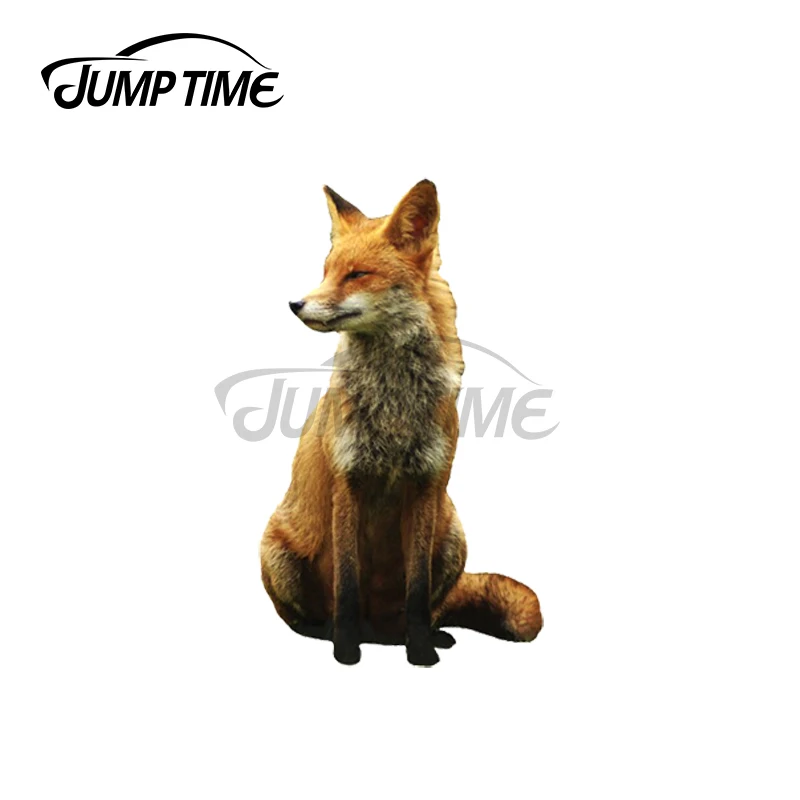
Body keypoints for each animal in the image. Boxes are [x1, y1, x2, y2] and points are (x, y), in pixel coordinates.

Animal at [260, 179, 542, 665]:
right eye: (326, 271)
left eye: (356, 275)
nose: (295, 303)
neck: (394, 408)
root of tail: (378, 628)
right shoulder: (347, 483)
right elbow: (347, 587)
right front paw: (345, 650)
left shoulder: (428, 484)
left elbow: (417, 592)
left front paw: (422, 652)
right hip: (276, 550)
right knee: (304, 618)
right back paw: (326, 633)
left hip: (452, 536)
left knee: (428, 607)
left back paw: (420, 635)